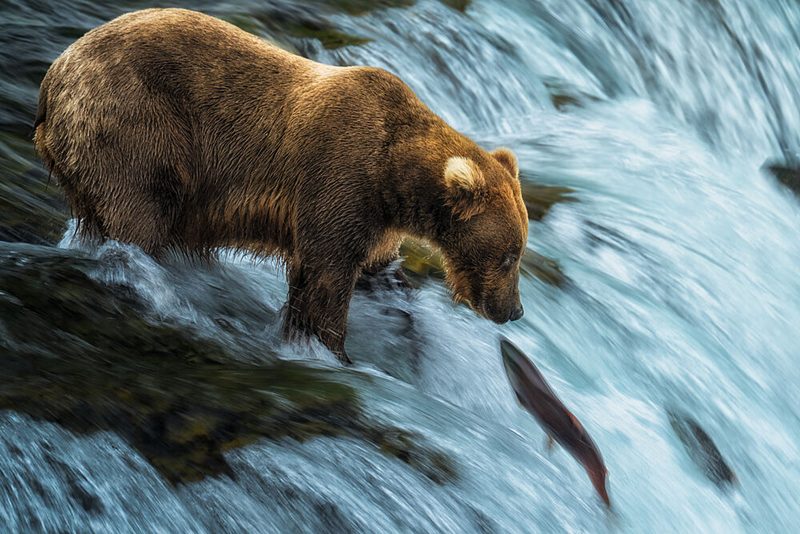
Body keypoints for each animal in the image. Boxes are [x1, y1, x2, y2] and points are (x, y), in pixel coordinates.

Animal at [33, 8, 528, 363]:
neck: (394, 175)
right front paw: (331, 352)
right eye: (509, 256)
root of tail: (55, 72)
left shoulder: (376, 222)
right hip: (137, 126)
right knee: (136, 219)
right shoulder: (341, 180)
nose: (513, 311)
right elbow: (326, 279)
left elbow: (383, 281)